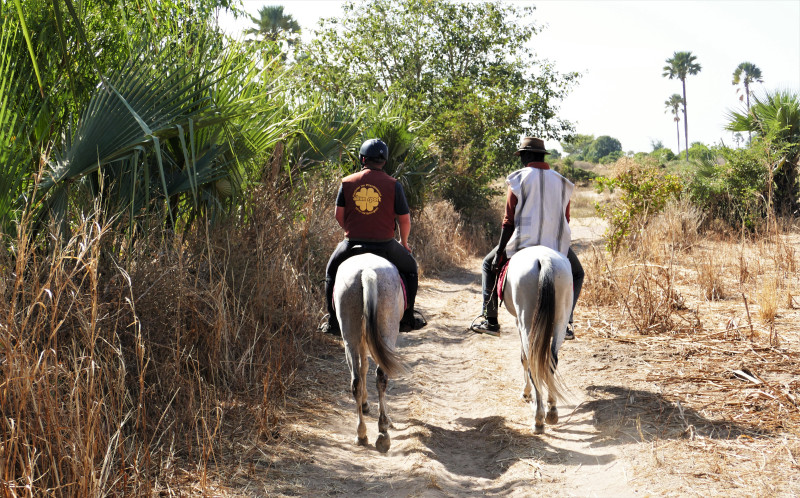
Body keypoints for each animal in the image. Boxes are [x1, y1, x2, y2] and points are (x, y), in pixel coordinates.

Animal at [332, 253, 406, 452]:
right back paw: (383, 432)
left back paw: (361, 434)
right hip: (387, 333)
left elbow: (363, 367)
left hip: (350, 336)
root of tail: (367, 272)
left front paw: (365, 404)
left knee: (356, 381)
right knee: (381, 377)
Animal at [504, 245, 572, 432]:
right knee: (551, 362)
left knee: (533, 361)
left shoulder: (518, 323)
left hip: (526, 321)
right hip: (561, 321)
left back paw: (538, 418)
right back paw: (552, 410)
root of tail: (544, 259)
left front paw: (526, 392)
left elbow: (524, 359)